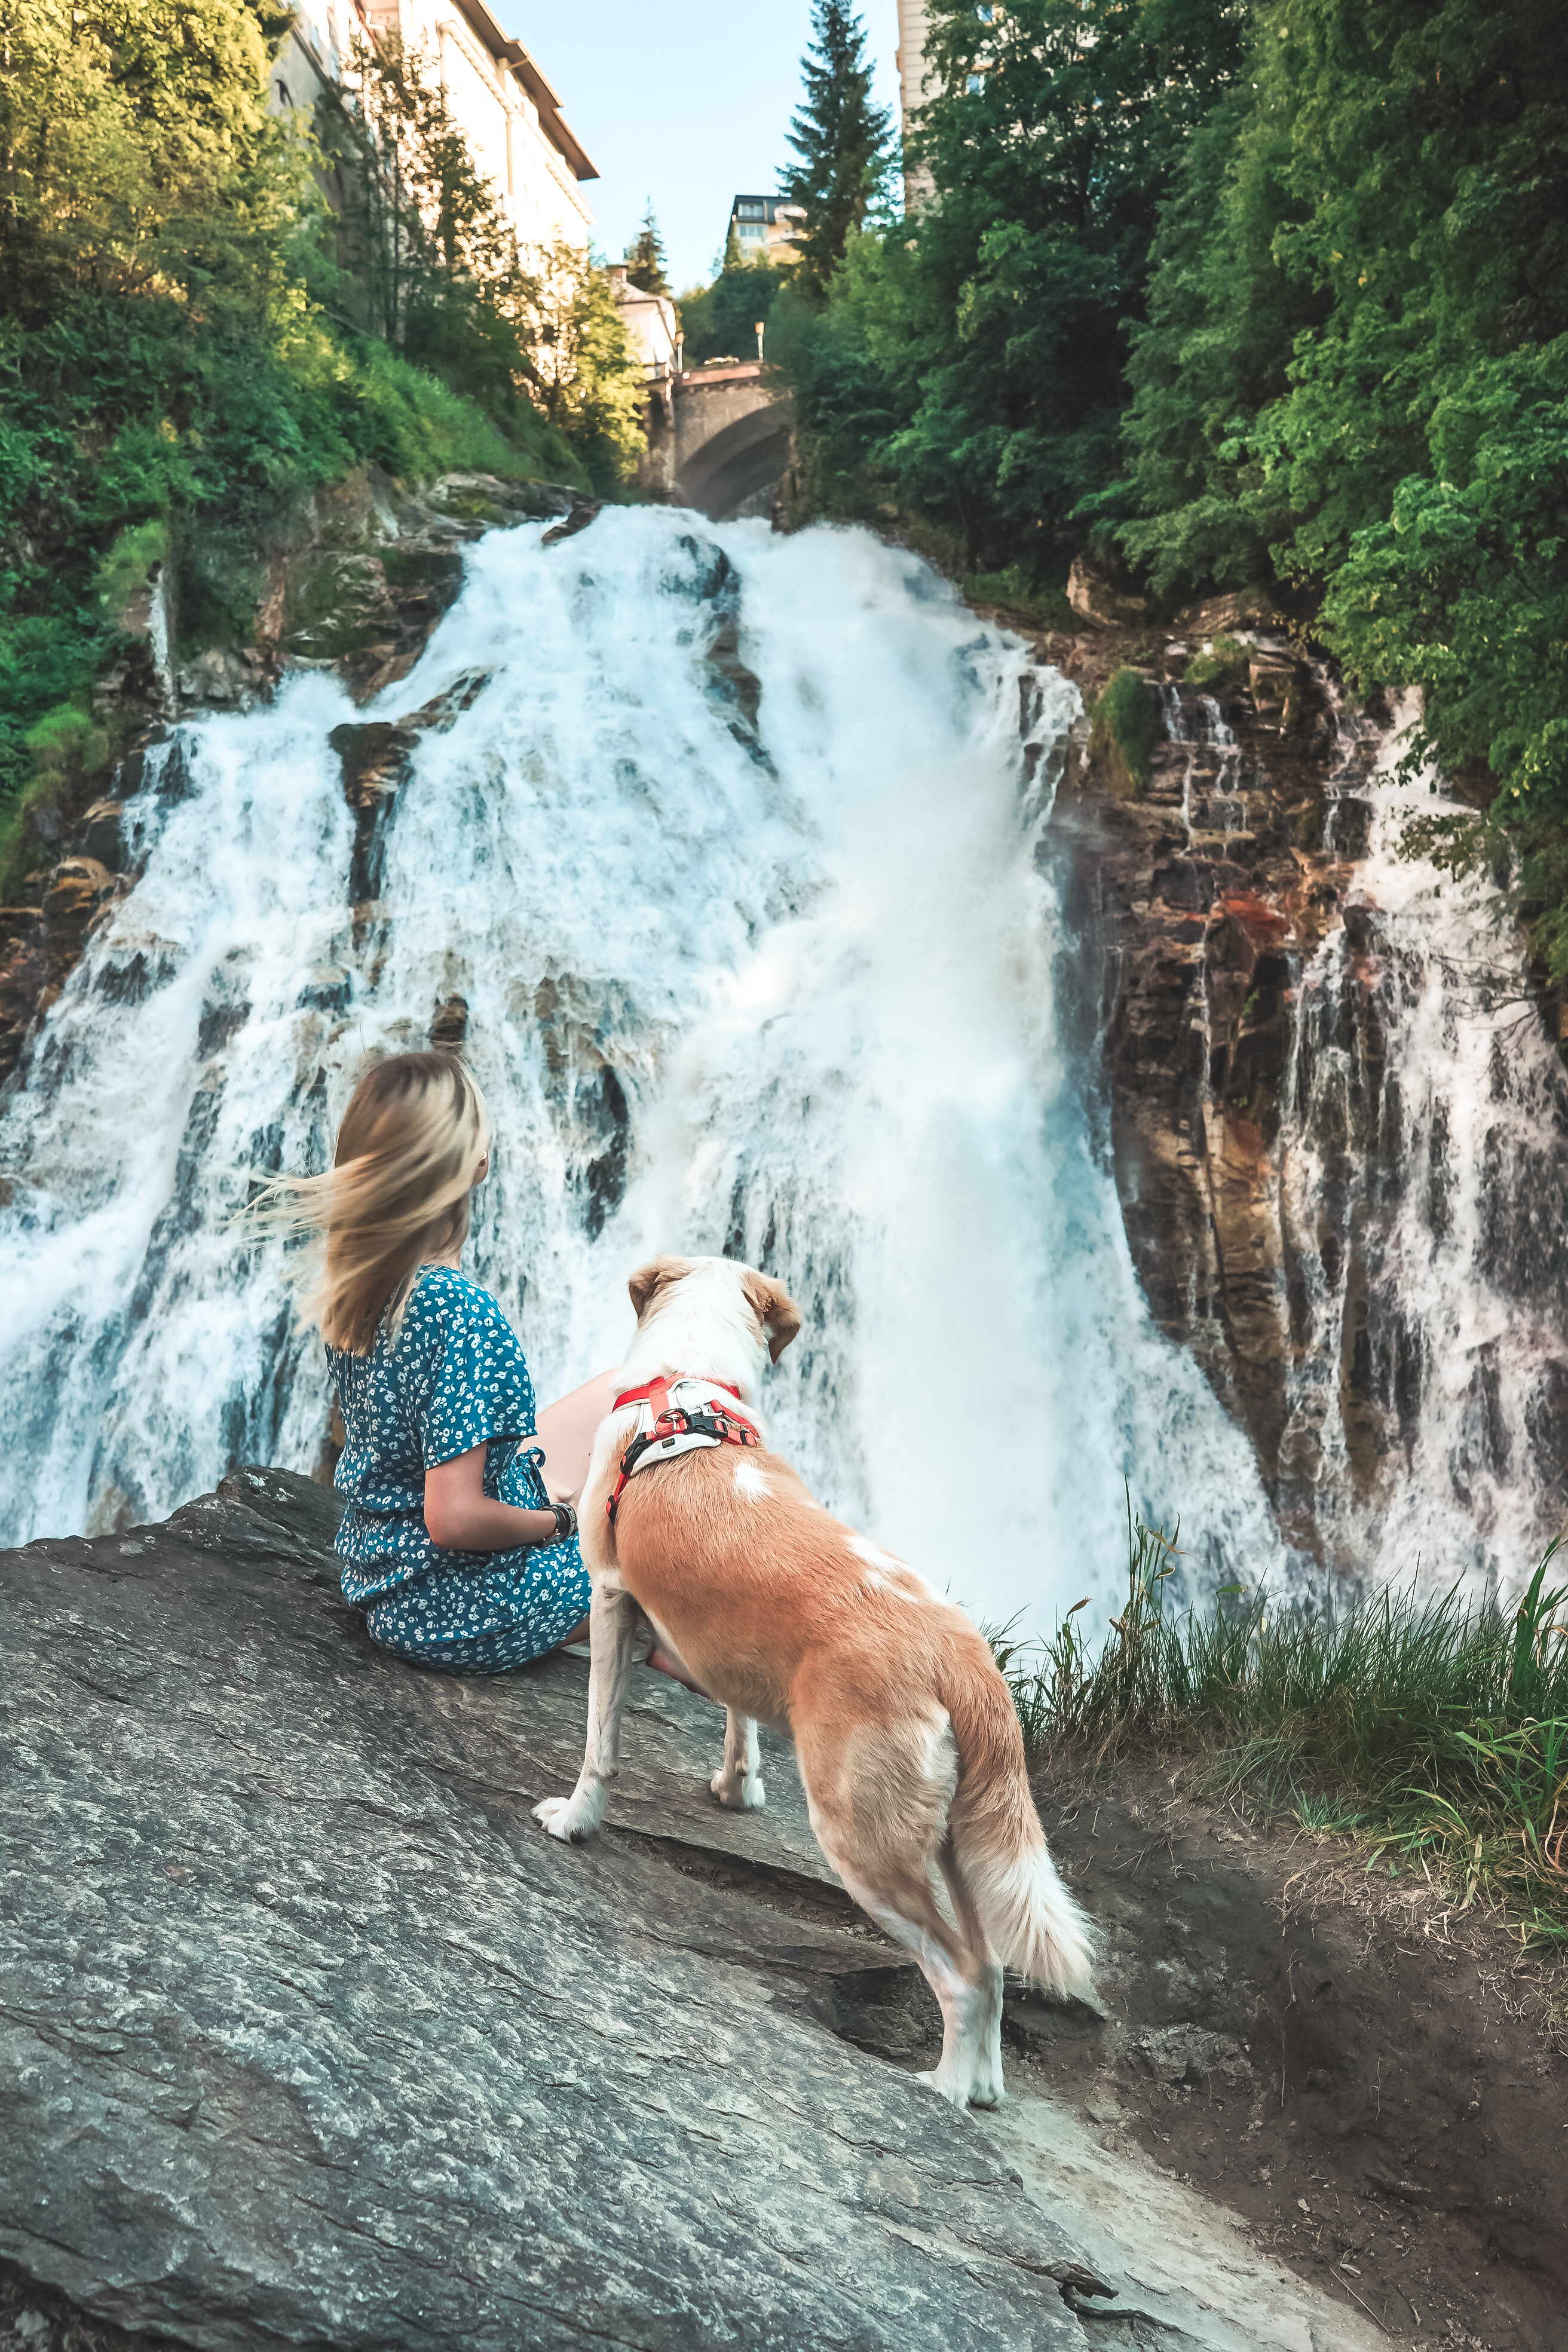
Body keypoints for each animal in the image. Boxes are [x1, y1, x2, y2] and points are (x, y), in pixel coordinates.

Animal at [534, 1260, 1100, 2107]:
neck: (686, 1386)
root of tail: (959, 1655)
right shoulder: (723, 1638)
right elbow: (736, 1716)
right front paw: (736, 1789)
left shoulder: (608, 1595)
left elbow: (599, 1741)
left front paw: (575, 1821)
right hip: (950, 1841)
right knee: (993, 1962)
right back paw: (981, 2087)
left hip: (858, 1835)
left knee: (960, 1972)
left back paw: (940, 2089)